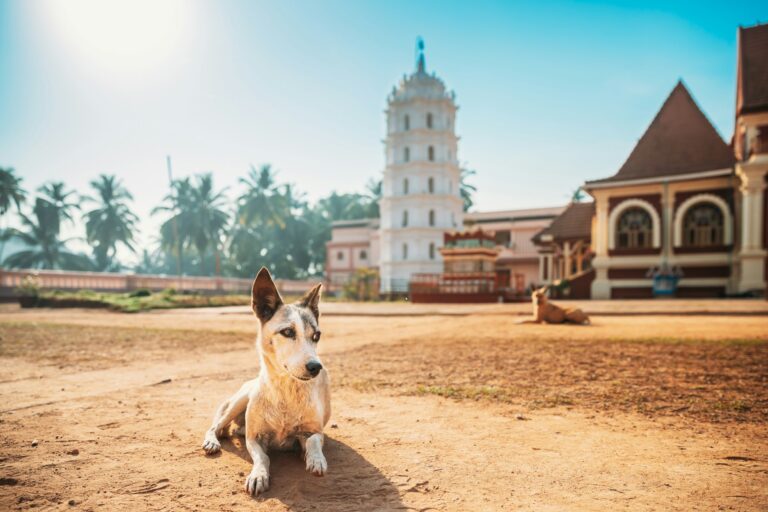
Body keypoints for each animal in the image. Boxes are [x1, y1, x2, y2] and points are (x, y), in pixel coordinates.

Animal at [201, 268, 330, 496]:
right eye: (287, 332)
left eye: (316, 335)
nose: (316, 367)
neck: (285, 390)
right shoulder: (254, 439)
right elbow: (263, 457)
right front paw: (258, 475)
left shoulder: (314, 430)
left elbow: (313, 440)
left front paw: (315, 458)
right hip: (240, 400)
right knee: (216, 425)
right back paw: (212, 440)